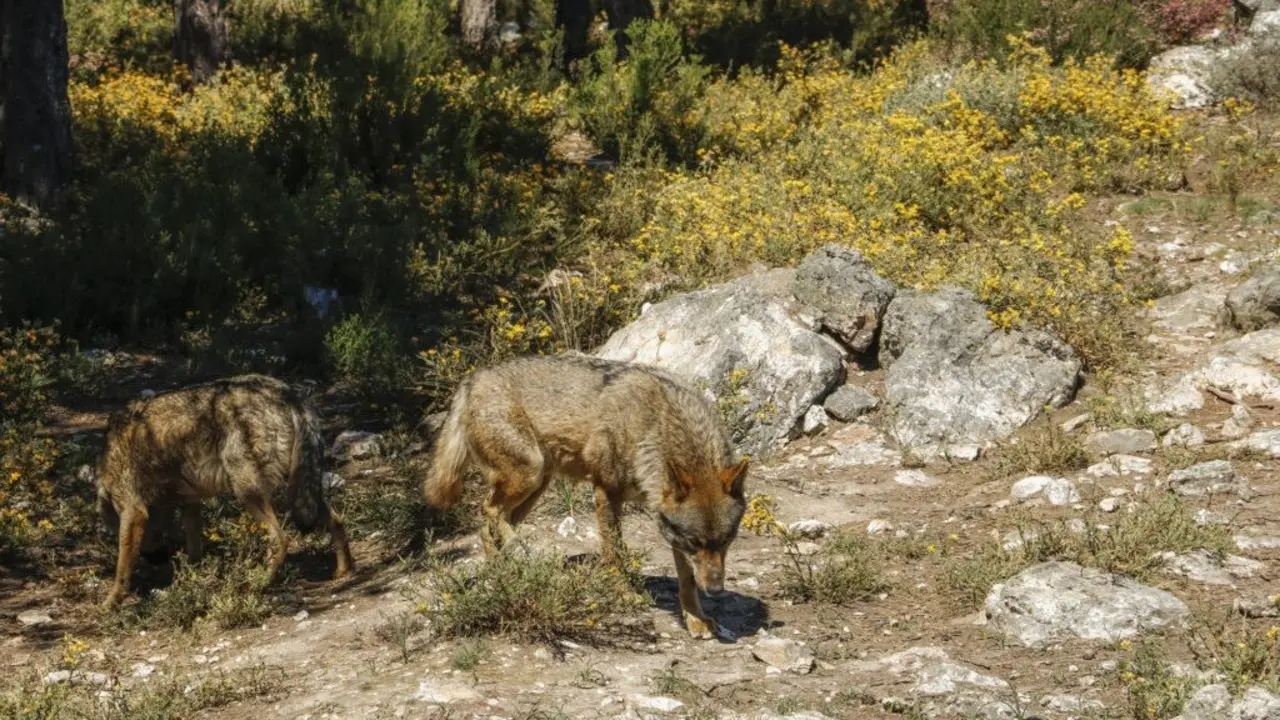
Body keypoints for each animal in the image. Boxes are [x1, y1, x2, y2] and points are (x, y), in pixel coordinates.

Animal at [95, 374, 355, 607]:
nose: (160, 559)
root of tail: (289, 394)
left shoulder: (133, 511)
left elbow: (122, 567)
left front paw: (111, 601)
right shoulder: (189, 503)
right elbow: (194, 551)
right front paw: (189, 582)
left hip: (248, 493)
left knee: (280, 539)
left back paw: (259, 582)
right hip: (300, 492)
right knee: (336, 520)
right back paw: (343, 571)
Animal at [423, 354, 748, 639]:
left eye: (727, 541)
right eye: (695, 542)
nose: (716, 590)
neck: (655, 425)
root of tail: (471, 379)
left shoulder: (668, 526)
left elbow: (687, 580)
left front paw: (696, 620)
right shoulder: (606, 492)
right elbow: (615, 553)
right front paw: (624, 594)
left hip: (537, 485)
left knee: (490, 524)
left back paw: (509, 570)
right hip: (529, 473)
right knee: (490, 512)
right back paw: (520, 556)